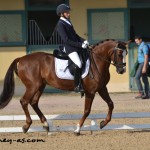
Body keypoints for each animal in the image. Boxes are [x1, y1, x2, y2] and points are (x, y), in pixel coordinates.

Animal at [0, 39, 128, 135]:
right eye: (119, 54)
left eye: (125, 53)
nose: (122, 70)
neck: (97, 61)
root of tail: (21, 58)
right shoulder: (90, 92)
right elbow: (87, 111)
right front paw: (77, 129)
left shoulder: (102, 89)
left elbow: (111, 104)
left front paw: (103, 123)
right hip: (32, 86)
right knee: (24, 101)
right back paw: (26, 126)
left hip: (40, 86)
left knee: (34, 102)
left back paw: (45, 125)